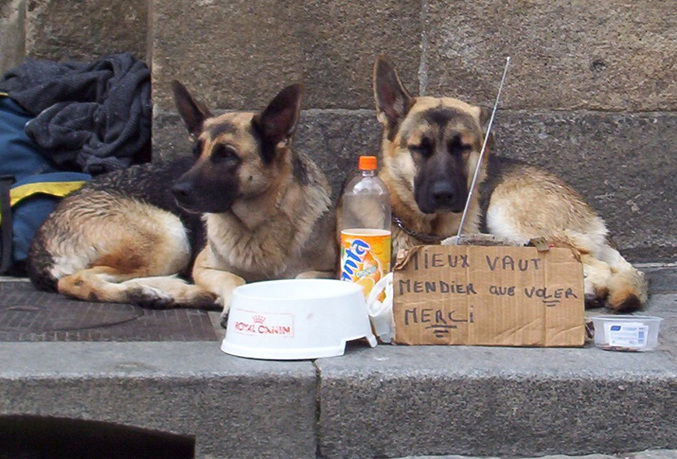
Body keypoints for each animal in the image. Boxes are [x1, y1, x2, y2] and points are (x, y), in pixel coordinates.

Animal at [26, 82, 338, 320]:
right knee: (76, 280)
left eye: (227, 155)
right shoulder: (204, 267)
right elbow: (234, 279)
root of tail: (40, 240)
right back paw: (155, 293)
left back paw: (170, 292)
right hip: (169, 237)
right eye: (195, 152)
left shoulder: (327, 271)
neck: (259, 223)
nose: (176, 190)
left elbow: (300, 280)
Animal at [372, 54, 648, 312]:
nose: (443, 194)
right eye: (420, 148)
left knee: (595, 266)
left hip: (504, 211)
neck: (424, 228)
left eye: (462, 148)